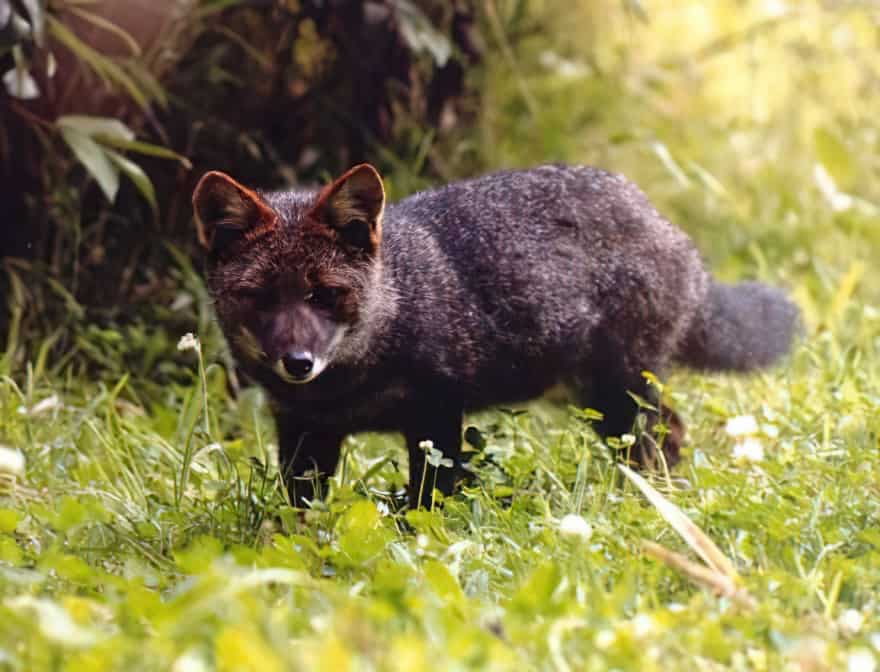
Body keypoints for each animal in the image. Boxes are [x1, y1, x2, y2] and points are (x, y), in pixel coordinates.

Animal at [192, 164, 796, 510]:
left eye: (323, 295)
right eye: (262, 297)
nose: (298, 362)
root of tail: (669, 229)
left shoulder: (436, 414)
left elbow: (427, 502)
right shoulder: (303, 430)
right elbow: (301, 516)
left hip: (618, 396)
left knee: (661, 437)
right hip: (595, 400)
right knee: (672, 430)